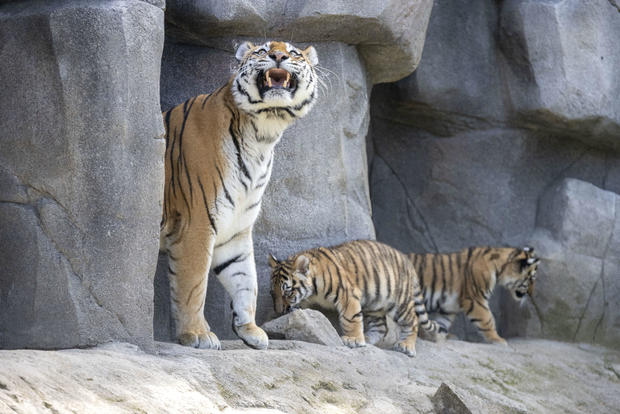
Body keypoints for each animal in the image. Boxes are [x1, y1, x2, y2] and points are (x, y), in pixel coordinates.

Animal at [160, 41, 320, 350]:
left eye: (294, 53)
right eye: (263, 50)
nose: (279, 55)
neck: (262, 135)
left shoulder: (236, 229)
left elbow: (246, 279)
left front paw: (250, 330)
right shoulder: (196, 223)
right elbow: (193, 284)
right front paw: (197, 334)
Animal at [268, 241, 438, 358]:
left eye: (287, 292)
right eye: (272, 294)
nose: (278, 311)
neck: (313, 290)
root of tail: (406, 259)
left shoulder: (347, 294)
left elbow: (350, 318)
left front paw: (353, 340)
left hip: (399, 302)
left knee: (412, 320)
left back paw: (406, 346)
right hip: (374, 304)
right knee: (381, 327)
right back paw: (368, 338)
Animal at [406, 244, 536, 344]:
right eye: (531, 279)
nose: (531, 294)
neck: (499, 269)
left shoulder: (449, 307)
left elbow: (442, 322)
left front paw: (437, 336)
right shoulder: (475, 299)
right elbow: (488, 320)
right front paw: (498, 340)